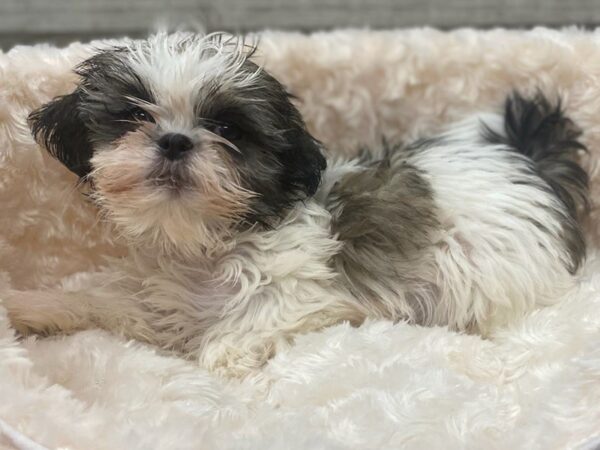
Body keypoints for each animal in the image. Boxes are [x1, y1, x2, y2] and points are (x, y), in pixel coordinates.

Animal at [3, 32, 584, 376]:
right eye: (133, 116)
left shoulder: (306, 289)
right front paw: (32, 307)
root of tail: (524, 162)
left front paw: (223, 353)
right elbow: (107, 302)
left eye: (227, 129)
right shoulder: (161, 304)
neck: (207, 246)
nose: (173, 140)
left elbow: (264, 314)